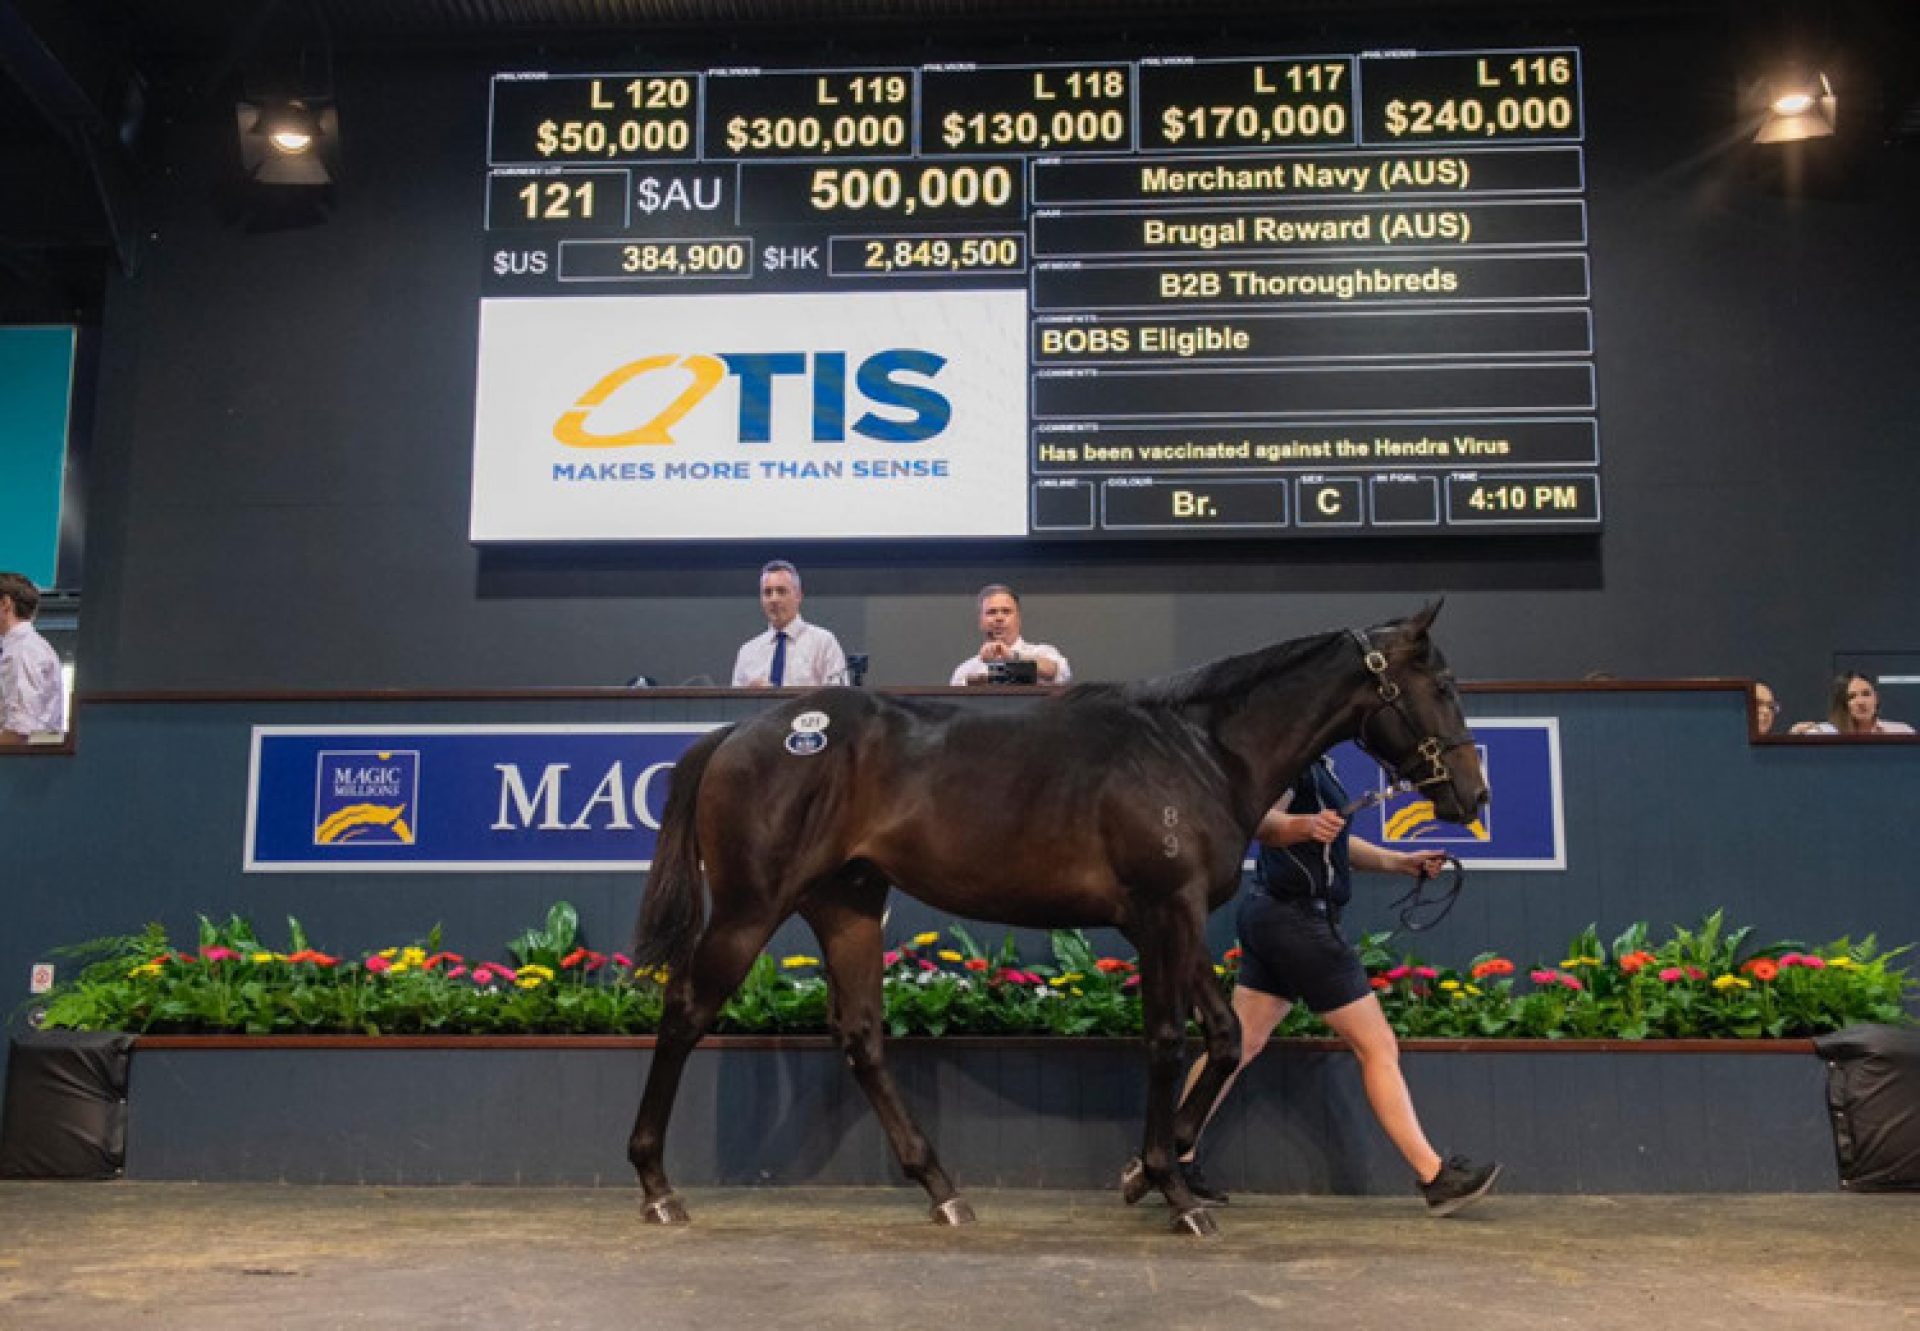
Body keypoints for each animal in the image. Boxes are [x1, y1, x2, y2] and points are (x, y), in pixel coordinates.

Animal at [625, 603, 1482, 1236]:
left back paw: (944, 1189)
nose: (1474, 795)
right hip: (750, 907)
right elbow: (1168, 1042)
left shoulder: (1169, 923)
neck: (1194, 748)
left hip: (848, 905)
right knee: (685, 1010)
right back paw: (658, 1186)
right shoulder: (1163, 912)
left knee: (862, 1037)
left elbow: (1226, 1037)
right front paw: (1174, 1190)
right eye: (1440, 684)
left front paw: (1152, 1168)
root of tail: (739, 732)